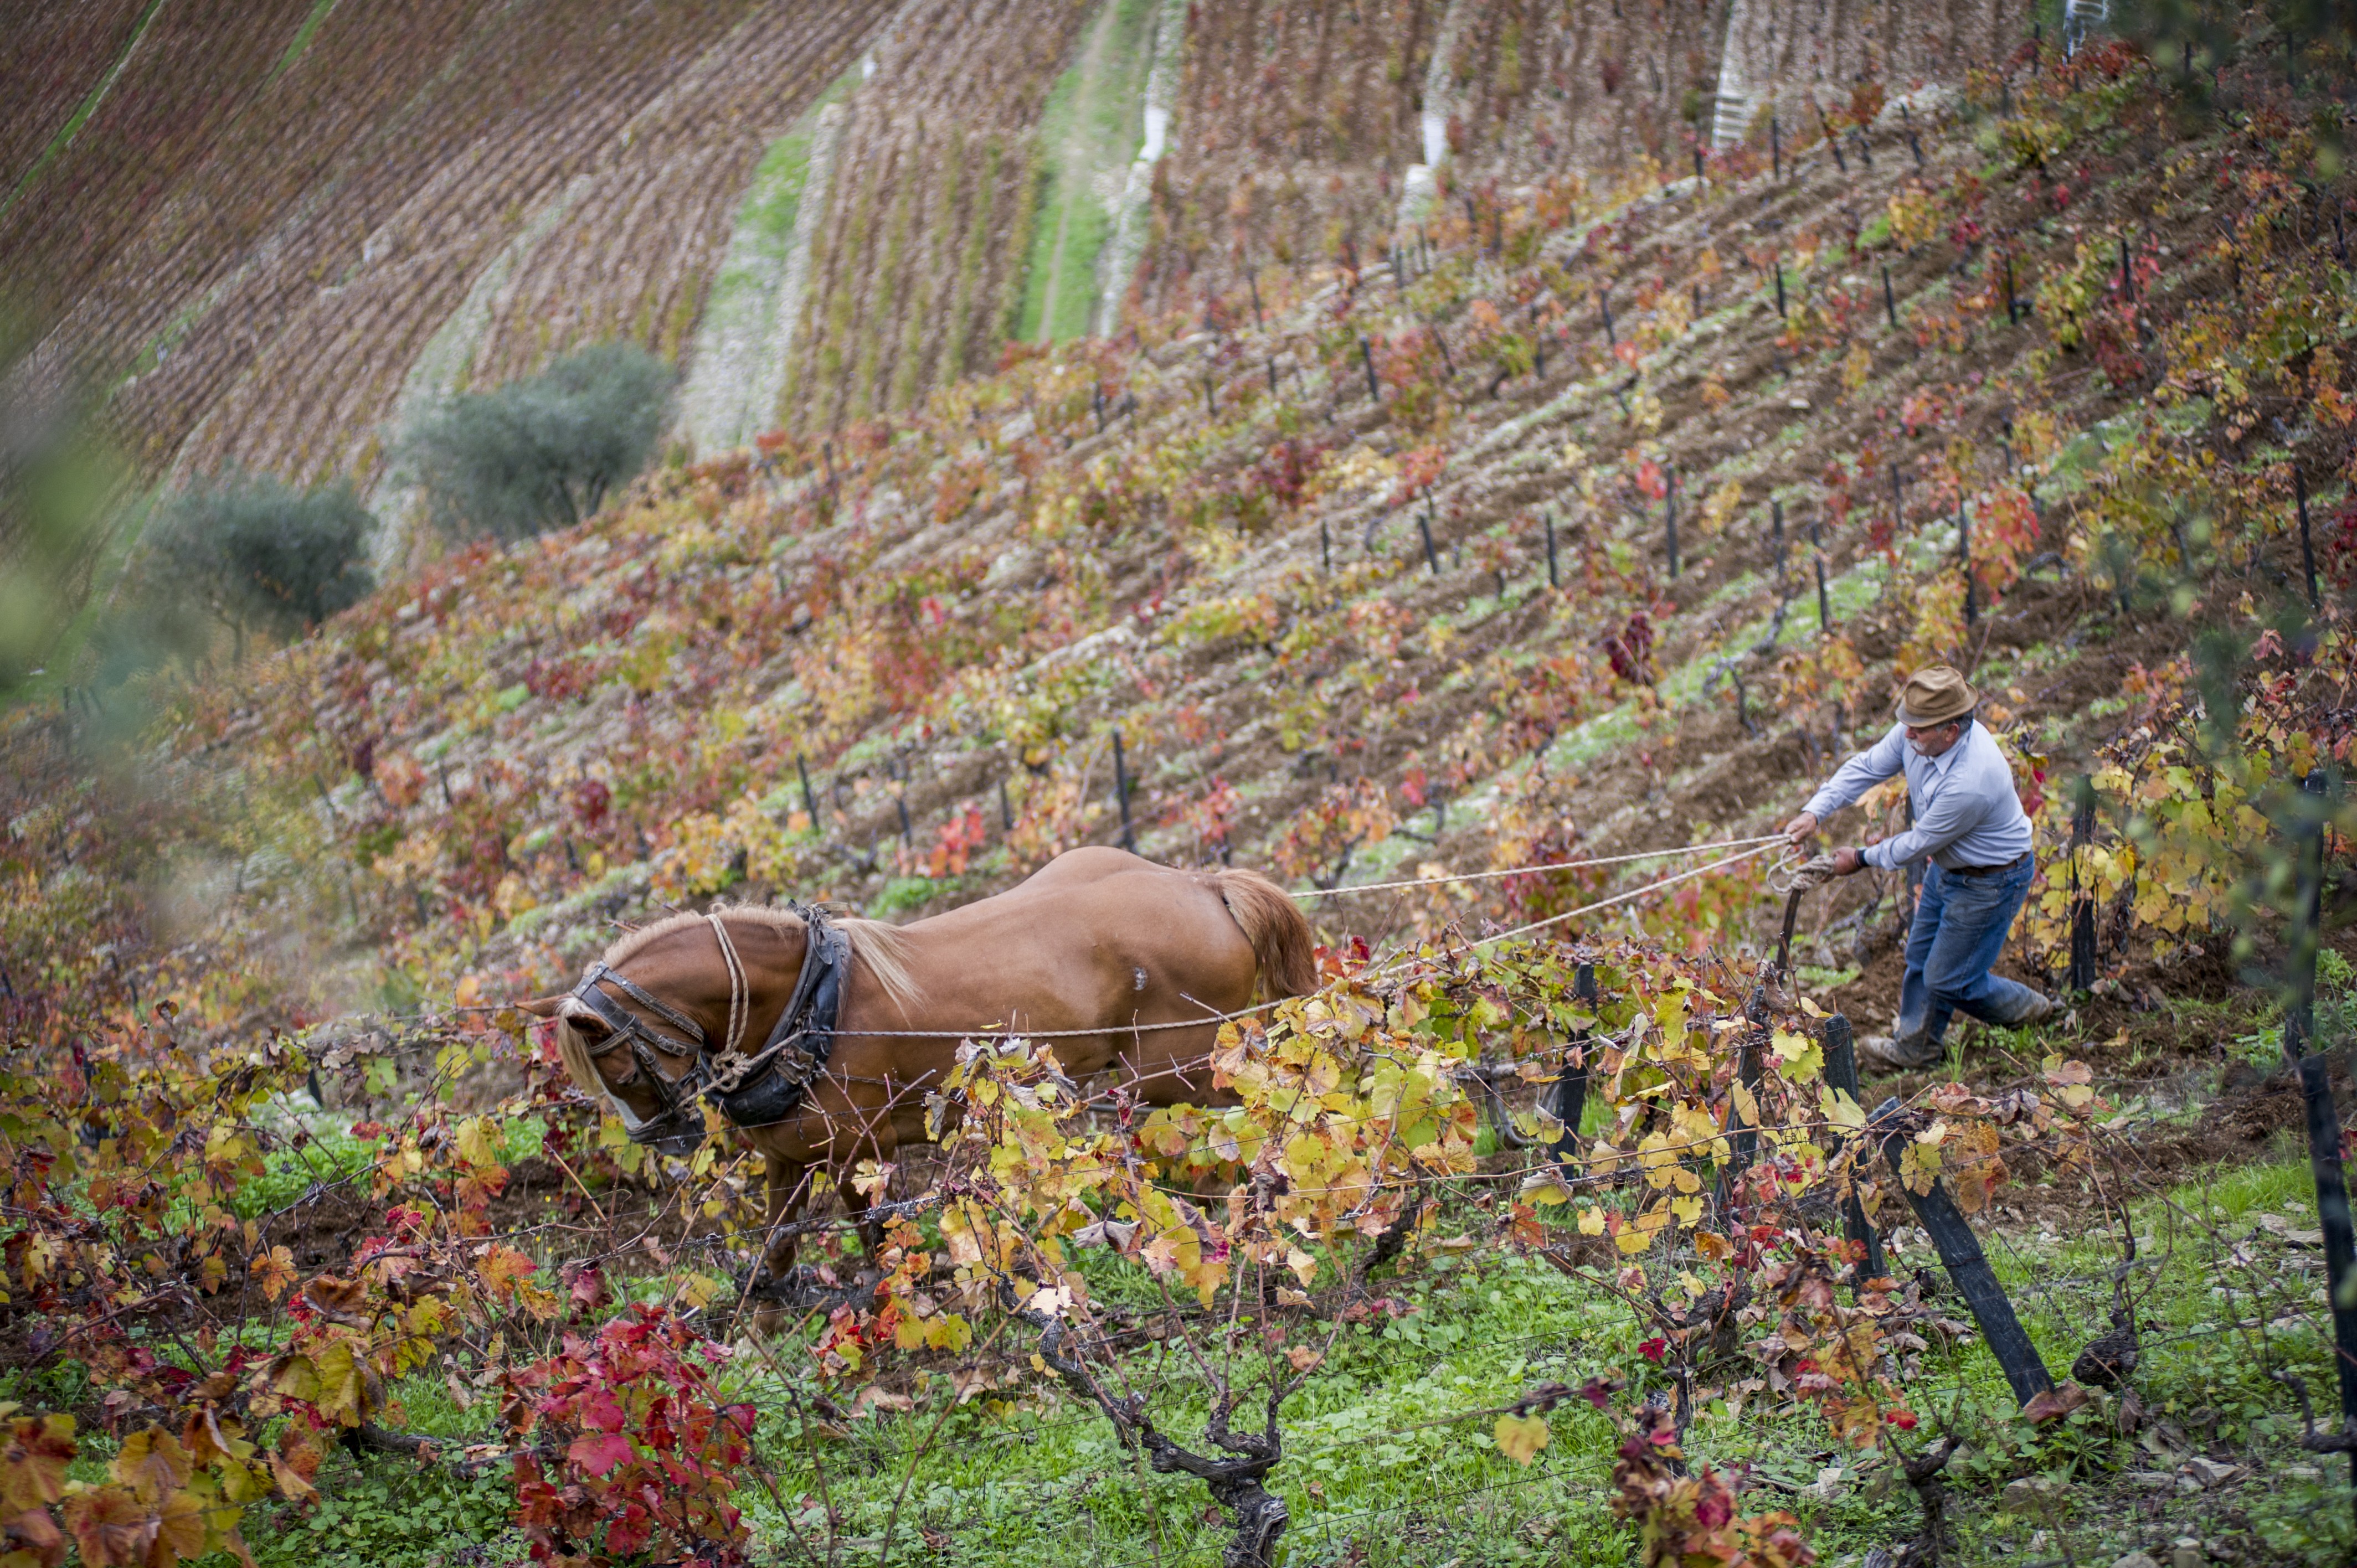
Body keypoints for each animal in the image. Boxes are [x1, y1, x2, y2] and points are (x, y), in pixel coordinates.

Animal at [523, 844, 1320, 1292]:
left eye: (622, 1069)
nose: (664, 1141)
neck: (812, 1001)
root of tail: (1203, 885)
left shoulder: (851, 1149)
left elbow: (872, 1232)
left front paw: (886, 1301)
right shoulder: (789, 1155)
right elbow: (777, 1242)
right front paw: (766, 1313)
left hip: (1175, 1065)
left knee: (1229, 1125)